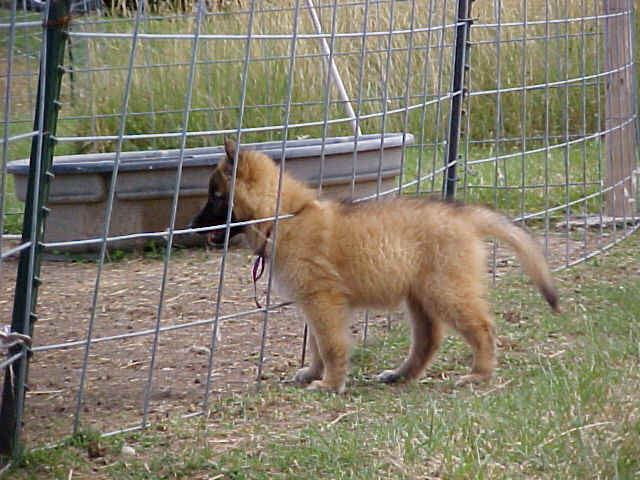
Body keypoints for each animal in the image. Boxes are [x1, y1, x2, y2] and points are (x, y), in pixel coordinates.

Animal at [208, 139, 556, 394]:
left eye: (216, 196)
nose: (197, 229)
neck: (290, 215)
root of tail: (464, 215)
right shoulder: (314, 304)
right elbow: (317, 344)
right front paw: (314, 373)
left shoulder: (323, 301)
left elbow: (330, 344)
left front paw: (331, 383)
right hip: (420, 296)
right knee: (429, 340)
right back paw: (402, 375)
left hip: (445, 290)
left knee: (482, 328)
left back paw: (479, 375)